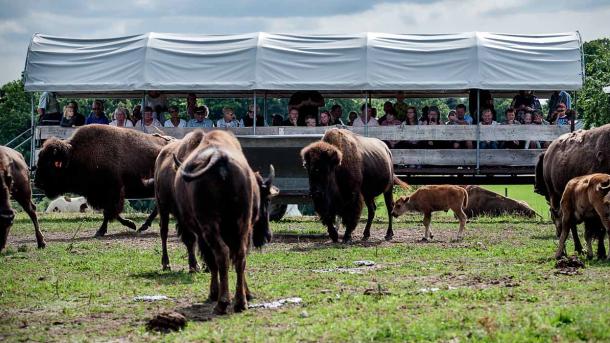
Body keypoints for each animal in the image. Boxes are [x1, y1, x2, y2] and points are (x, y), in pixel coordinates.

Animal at [34, 125, 170, 238]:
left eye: (50, 164)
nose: (37, 182)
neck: (76, 155)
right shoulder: (101, 196)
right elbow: (111, 213)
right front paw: (130, 224)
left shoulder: (112, 193)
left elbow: (109, 212)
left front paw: (101, 231)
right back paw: (144, 226)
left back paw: (145, 226)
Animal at [171, 131, 276, 314]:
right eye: (266, 199)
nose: (267, 235)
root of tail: (220, 157)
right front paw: (248, 294)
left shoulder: (202, 234)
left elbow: (212, 262)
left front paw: (213, 293)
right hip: (241, 224)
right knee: (239, 256)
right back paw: (240, 302)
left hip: (210, 226)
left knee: (221, 255)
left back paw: (222, 302)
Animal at [532, 125, 608, 260]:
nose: (537, 188)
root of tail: (547, 153)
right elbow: (598, 229)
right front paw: (601, 253)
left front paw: (601, 253)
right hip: (556, 197)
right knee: (566, 224)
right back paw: (575, 250)